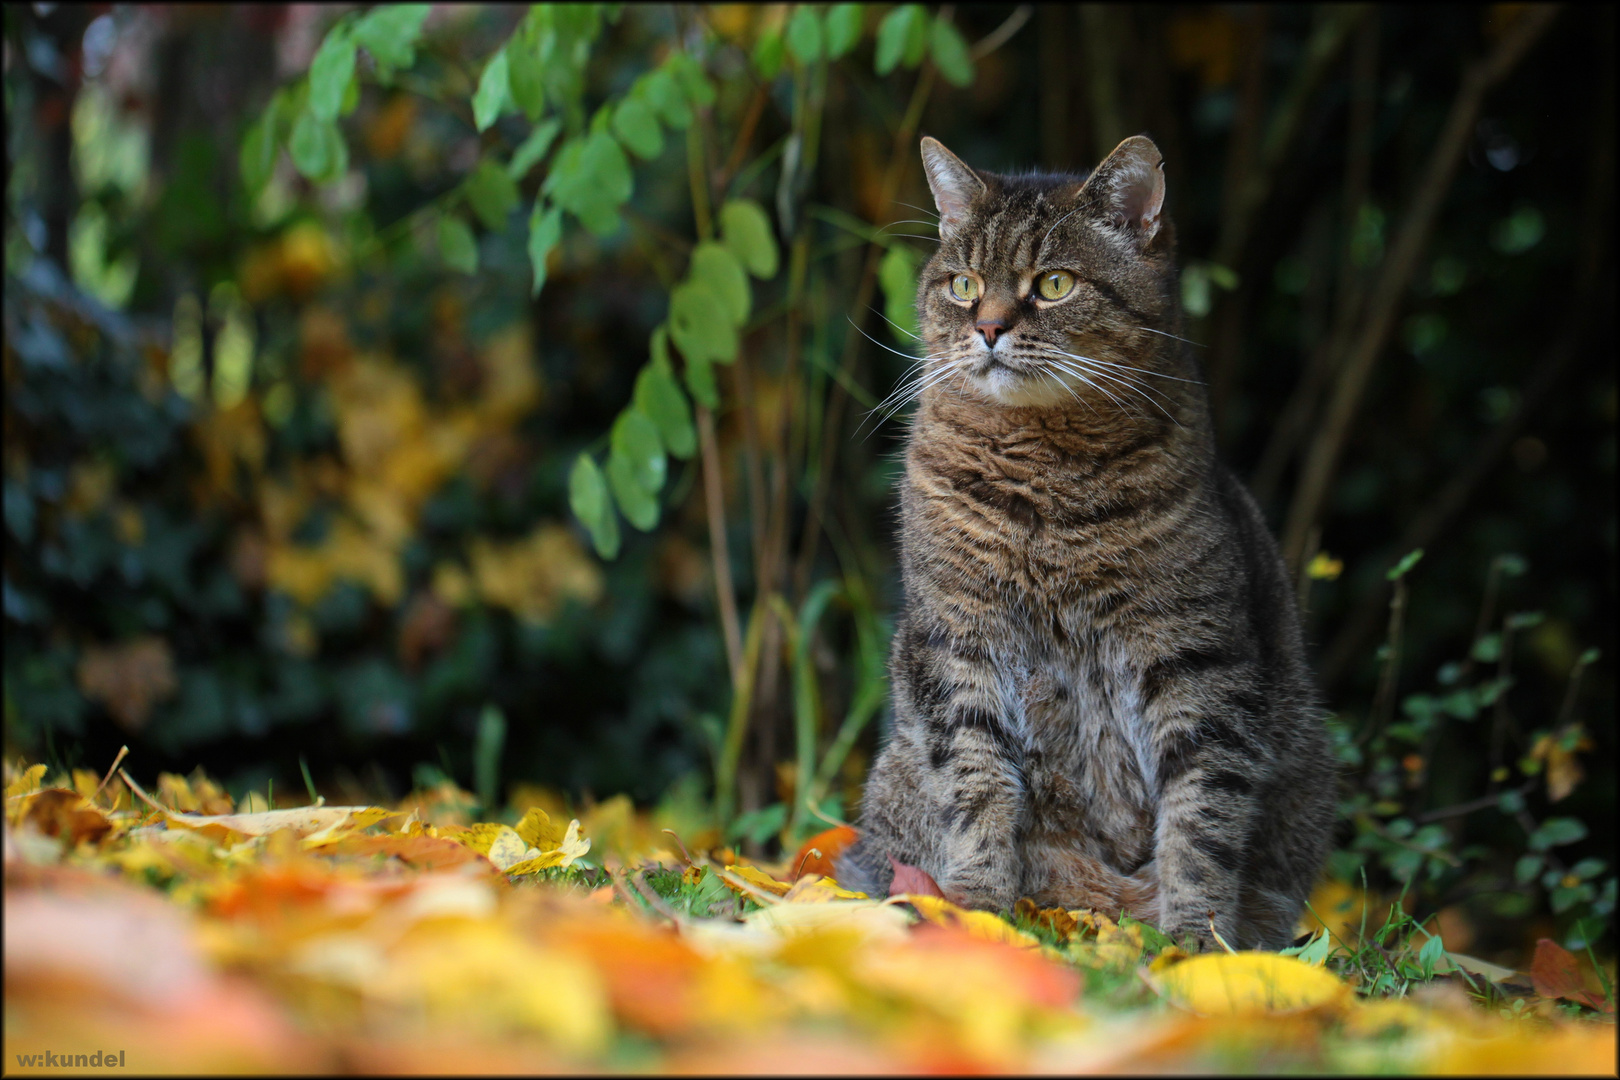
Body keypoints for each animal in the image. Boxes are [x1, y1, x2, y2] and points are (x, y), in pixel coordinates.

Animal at [835, 137, 1328, 952]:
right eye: (965, 285)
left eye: (1054, 284)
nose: (988, 328)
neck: (1044, 479)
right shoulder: (961, 642)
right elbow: (976, 784)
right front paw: (975, 906)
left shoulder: (1197, 658)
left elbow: (1202, 815)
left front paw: (1195, 943)